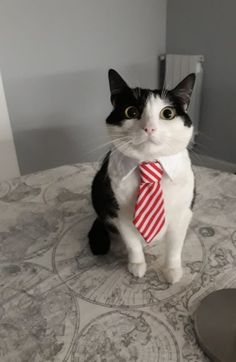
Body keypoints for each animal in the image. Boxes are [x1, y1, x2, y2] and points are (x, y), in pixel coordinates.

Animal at [88, 69, 195, 284]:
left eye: (167, 113)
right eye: (131, 112)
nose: (149, 128)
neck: (149, 163)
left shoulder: (183, 213)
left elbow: (175, 246)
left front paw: (172, 270)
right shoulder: (118, 213)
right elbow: (132, 243)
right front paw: (137, 264)